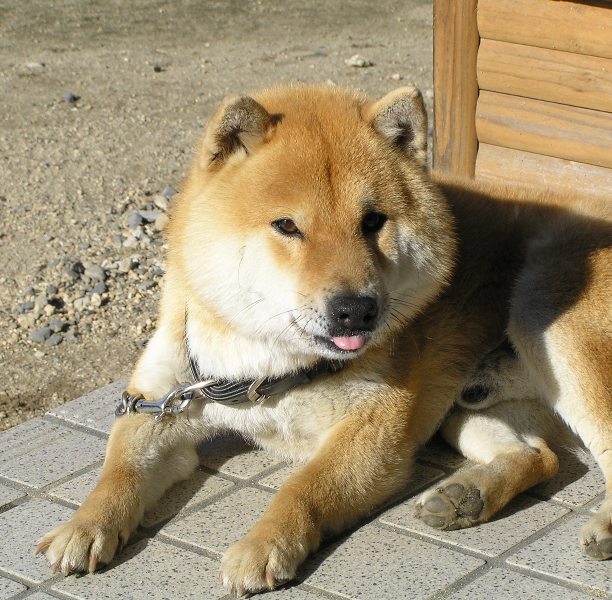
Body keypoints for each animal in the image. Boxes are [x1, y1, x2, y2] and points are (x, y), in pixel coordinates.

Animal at [37, 84, 611, 595]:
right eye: (287, 226)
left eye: (373, 221)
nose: (356, 309)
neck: (261, 368)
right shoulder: (161, 399)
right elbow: (118, 471)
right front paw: (84, 525)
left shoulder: (373, 433)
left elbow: (303, 487)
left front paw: (264, 543)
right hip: (465, 408)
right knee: (541, 456)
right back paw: (468, 495)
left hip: (546, 312)